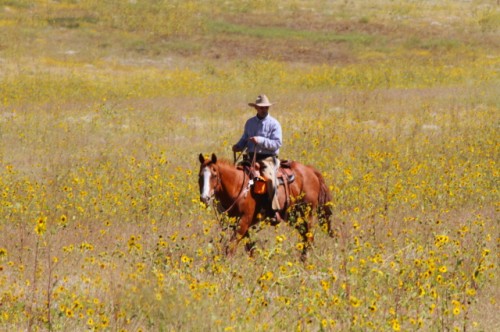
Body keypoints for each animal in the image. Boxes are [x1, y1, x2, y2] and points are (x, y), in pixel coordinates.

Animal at [197, 153, 334, 260]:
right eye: (200, 176)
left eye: (214, 175)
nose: (205, 198)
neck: (237, 186)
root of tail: (310, 171)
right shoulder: (238, 223)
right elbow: (249, 247)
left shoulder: (244, 221)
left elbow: (231, 246)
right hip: (294, 217)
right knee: (305, 236)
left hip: (307, 213)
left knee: (309, 237)